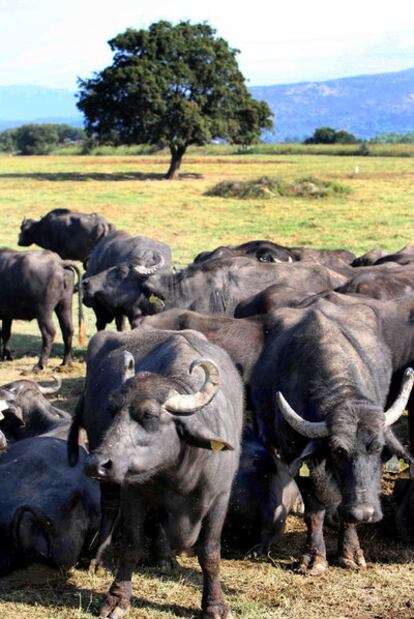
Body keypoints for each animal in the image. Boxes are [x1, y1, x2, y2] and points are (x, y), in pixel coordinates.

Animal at [68, 326, 243, 616]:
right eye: (112, 410)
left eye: (149, 415)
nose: (96, 463)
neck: (181, 472)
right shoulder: (134, 493)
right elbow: (131, 546)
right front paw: (116, 599)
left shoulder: (220, 497)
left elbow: (210, 553)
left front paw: (214, 605)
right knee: (110, 508)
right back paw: (99, 559)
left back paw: (164, 558)